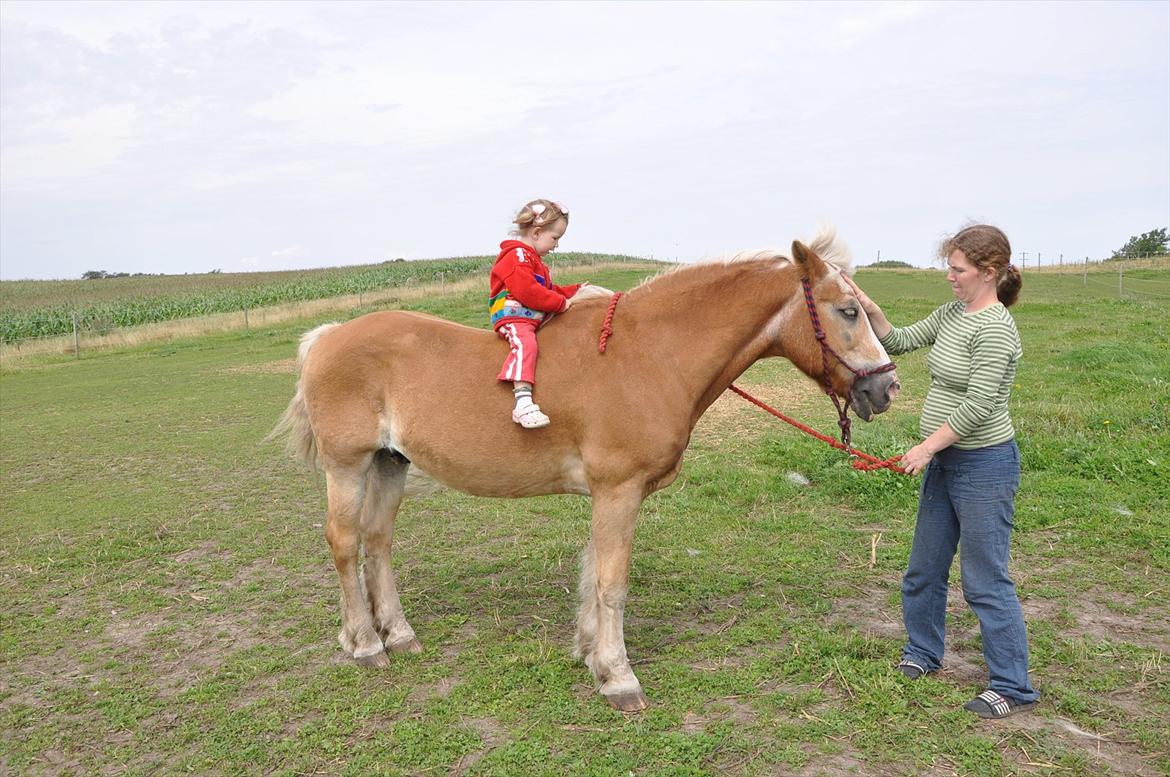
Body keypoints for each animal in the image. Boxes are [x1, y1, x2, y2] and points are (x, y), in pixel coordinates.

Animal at [269, 229, 898, 711]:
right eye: (848, 311)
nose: (886, 387)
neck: (648, 354)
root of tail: (328, 336)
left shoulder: (612, 493)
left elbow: (595, 573)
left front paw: (592, 653)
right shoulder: (618, 490)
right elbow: (612, 582)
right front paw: (618, 677)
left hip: (390, 464)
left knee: (377, 542)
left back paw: (397, 634)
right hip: (347, 467)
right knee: (345, 543)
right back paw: (364, 643)